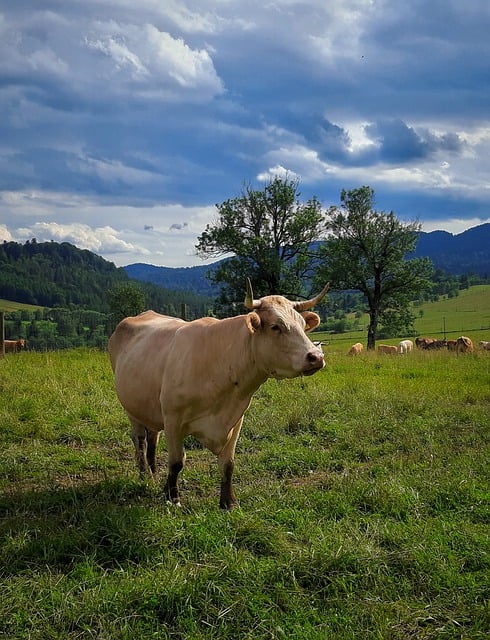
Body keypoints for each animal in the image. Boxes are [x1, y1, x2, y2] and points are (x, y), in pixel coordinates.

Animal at [108, 279, 329, 510]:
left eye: (303, 326)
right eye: (275, 326)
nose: (316, 356)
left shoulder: (236, 419)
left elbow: (227, 464)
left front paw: (228, 502)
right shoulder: (173, 420)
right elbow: (176, 462)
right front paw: (173, 497)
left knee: (152, 438)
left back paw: (153, 473)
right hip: (131, 409)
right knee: (140, 440)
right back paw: (145, 475)